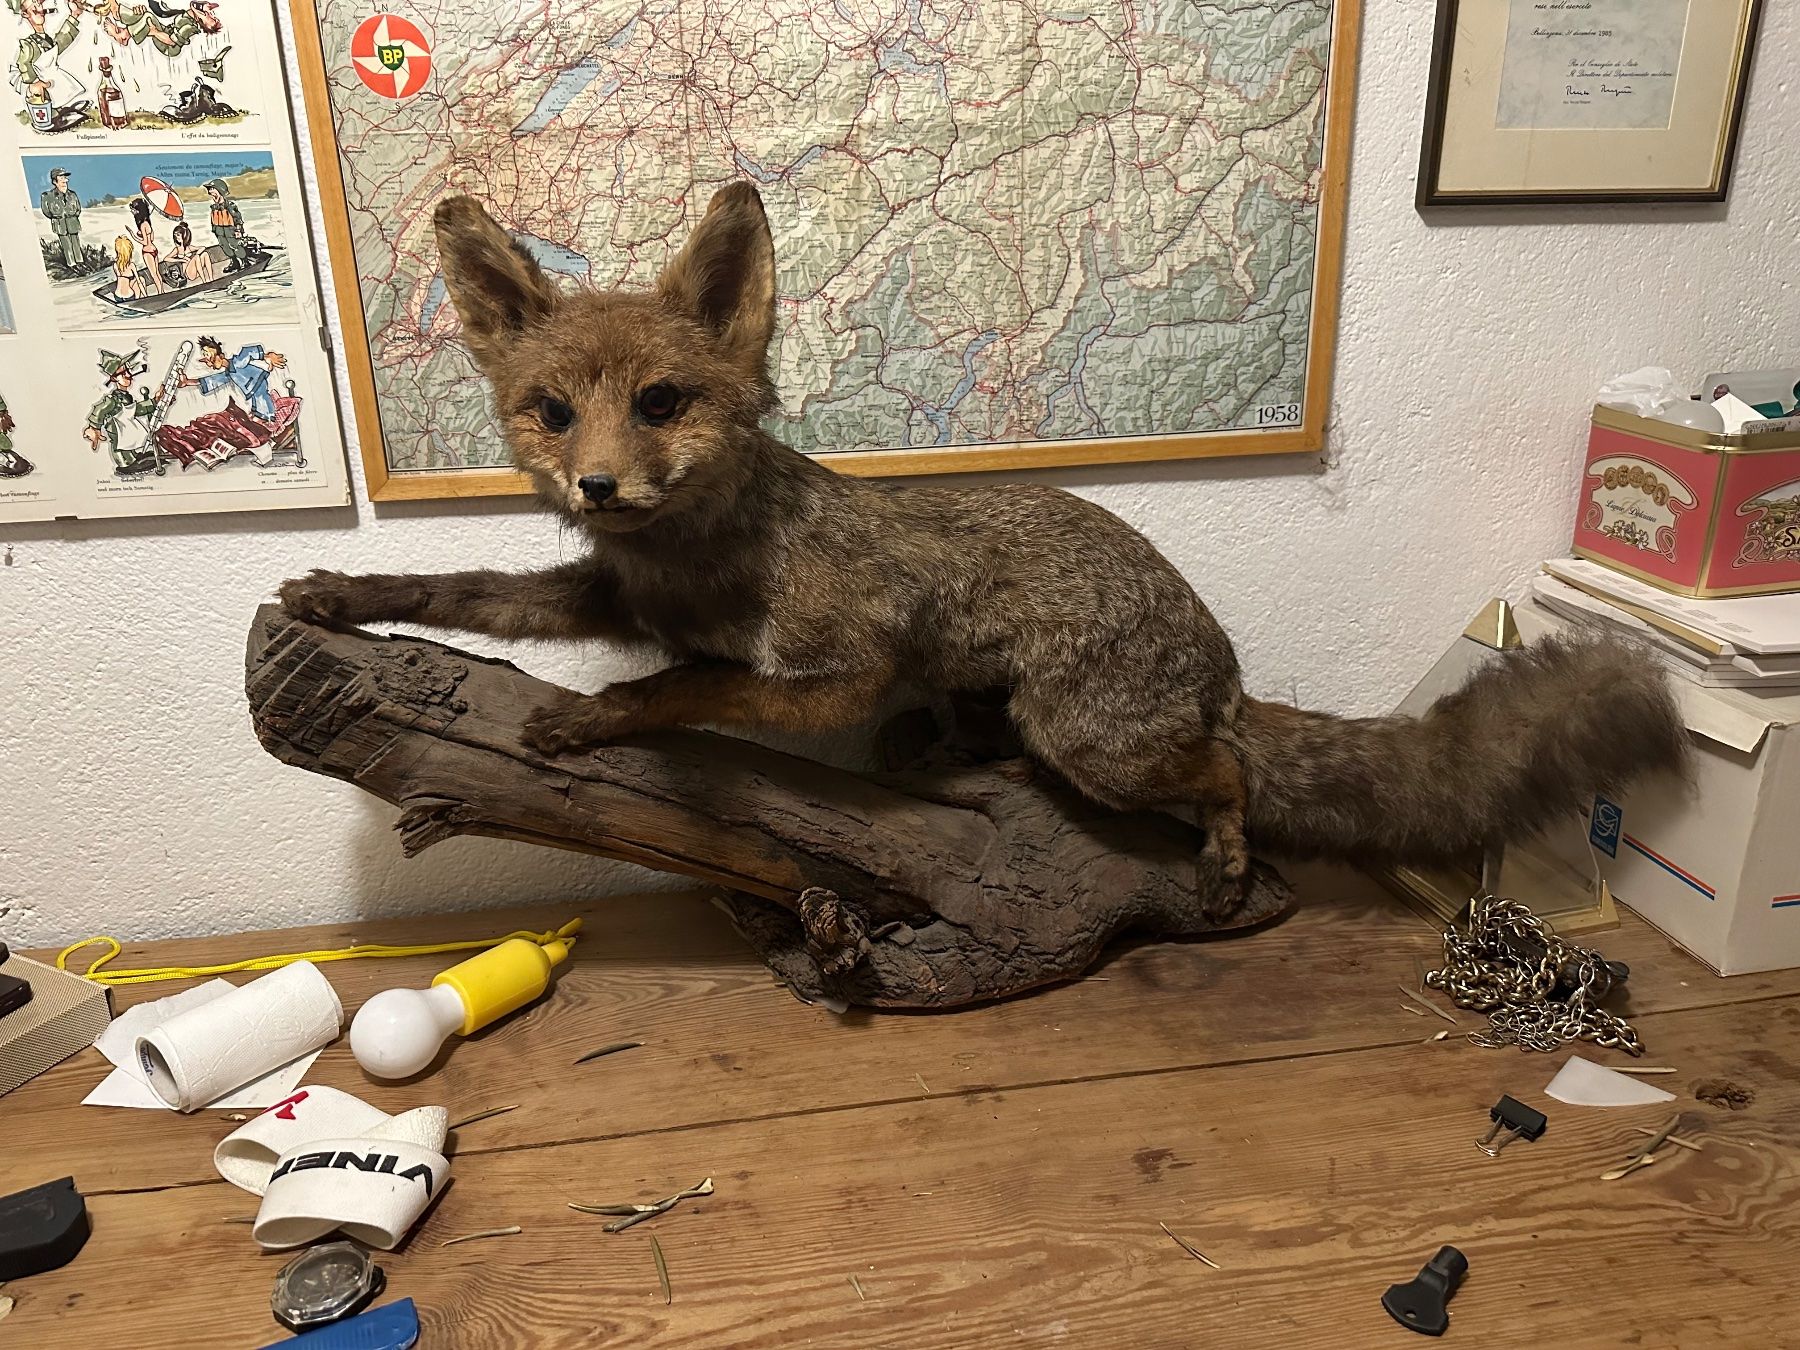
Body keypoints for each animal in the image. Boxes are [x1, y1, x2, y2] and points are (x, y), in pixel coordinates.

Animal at [279, 183, 1686, 891]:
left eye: (663, 402)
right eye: (555, 411)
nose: (599, 488)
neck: (697, 557)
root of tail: (1219, 661)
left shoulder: (838, 663)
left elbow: (692, 688)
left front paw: (596, 718)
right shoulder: (610, 598)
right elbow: (460, 589)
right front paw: (339, 590)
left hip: (1092, 744)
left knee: (1225, 774)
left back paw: (1227, 848)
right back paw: (953, 758)